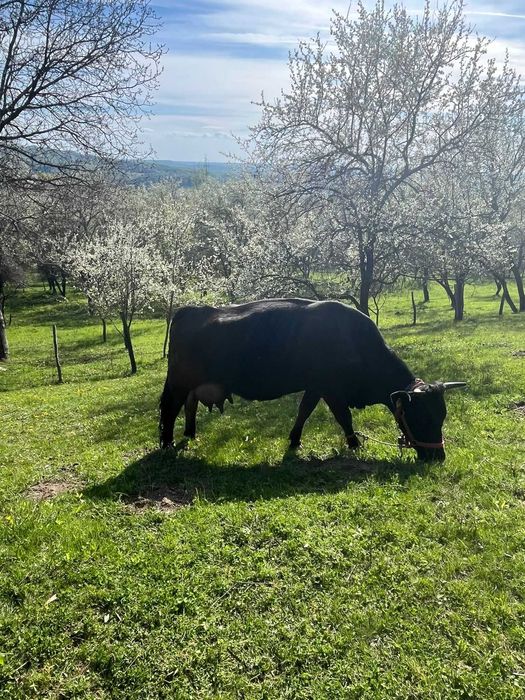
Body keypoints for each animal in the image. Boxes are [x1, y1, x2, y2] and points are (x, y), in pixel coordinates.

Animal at [159, 298, 466, 462]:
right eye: (423, 417)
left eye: (442, 416)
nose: (438, 456)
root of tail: (189, 310)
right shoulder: (330, 388)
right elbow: (343, 417)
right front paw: (355, 444)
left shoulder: (315, 387)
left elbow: (303, 412)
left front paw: (295, 440)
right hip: (178, 384)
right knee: (169, 409)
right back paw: (167, 444)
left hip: (191, 387)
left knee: (188, 407)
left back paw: (190, 434)